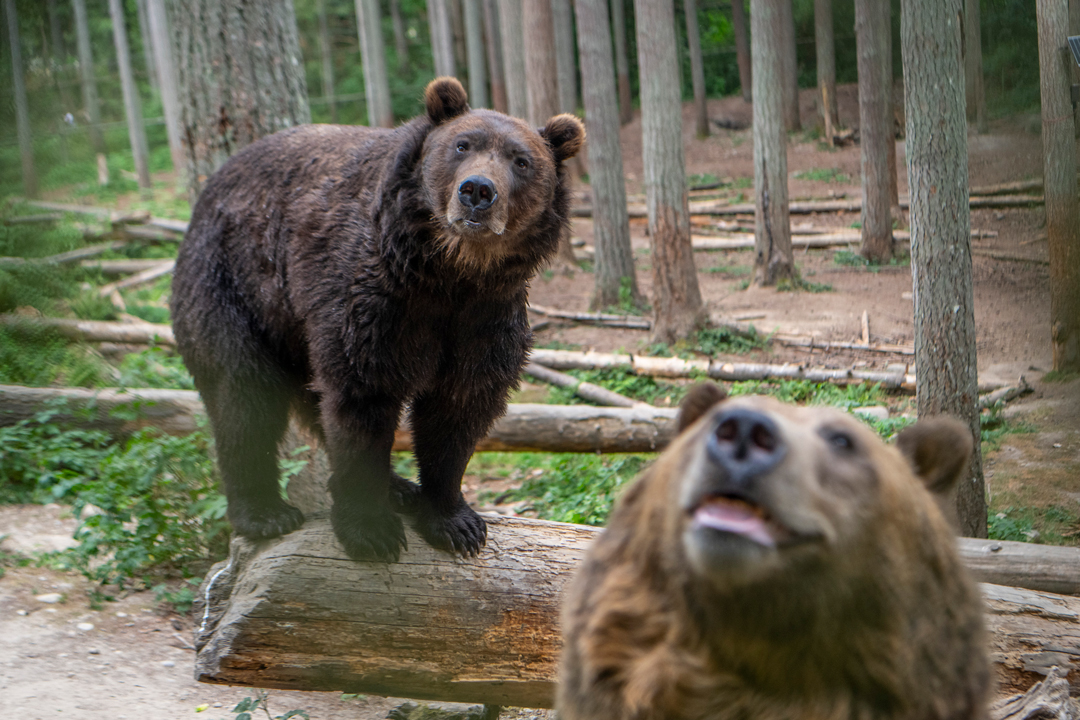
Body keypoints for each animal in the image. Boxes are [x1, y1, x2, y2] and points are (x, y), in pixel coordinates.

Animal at [170, 77, 584, 563]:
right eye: (462, 145)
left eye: (521, 161)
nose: (478, 190)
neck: (449, 274)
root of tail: (207, 192)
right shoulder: (375, 303)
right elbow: (362, 397)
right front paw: (370, 530)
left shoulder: (485, 318)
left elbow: (459, 408)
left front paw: (455, 521)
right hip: (236, 286)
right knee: (244, 395)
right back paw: (265, 512)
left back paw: (397, 486)